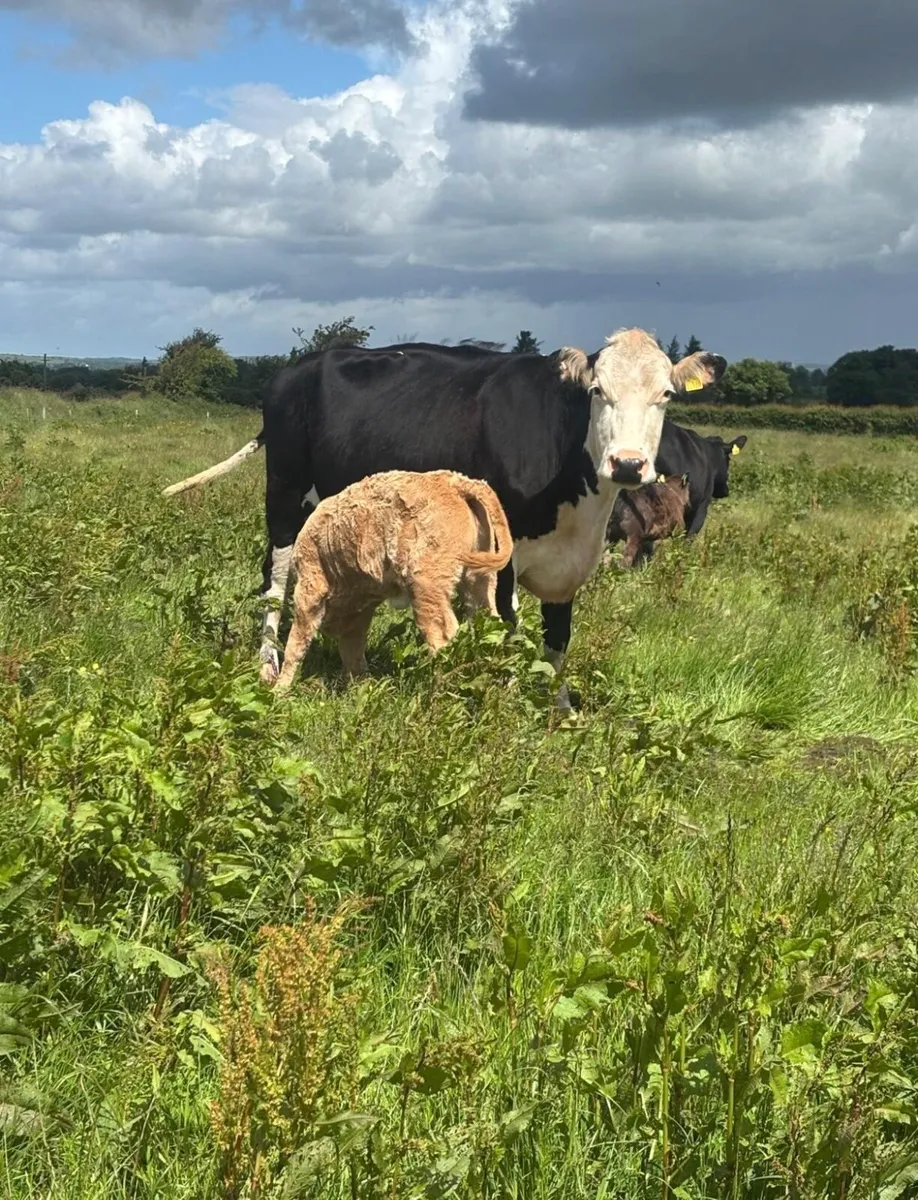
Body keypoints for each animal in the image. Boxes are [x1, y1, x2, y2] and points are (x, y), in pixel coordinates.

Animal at [273, 469, 513, 691]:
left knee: (443, 635)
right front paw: (359, 687)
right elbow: (352, 651)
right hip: (479, 580)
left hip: (427, 586)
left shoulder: (309, 589)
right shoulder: (360, 611)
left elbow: (295, 645)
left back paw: (438, 689)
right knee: (488, 624)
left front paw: (279, 690)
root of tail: (455, 481)